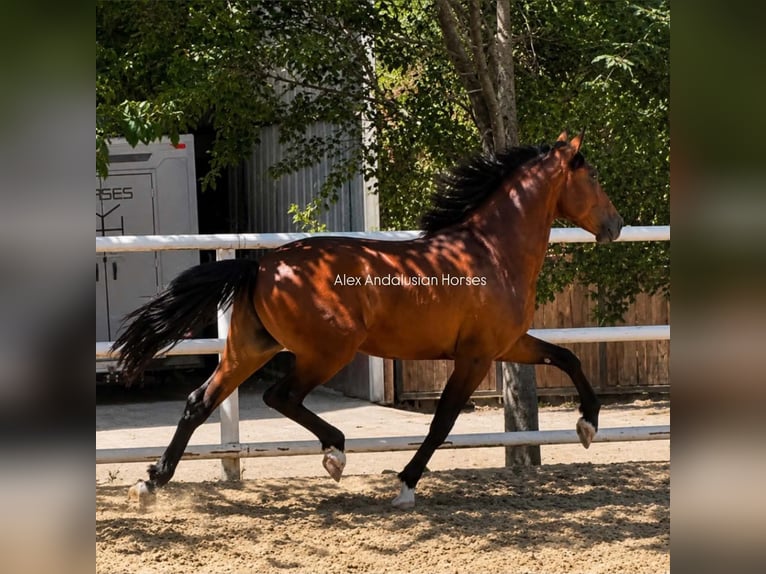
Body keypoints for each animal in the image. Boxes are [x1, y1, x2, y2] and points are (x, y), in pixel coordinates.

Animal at [116, 131, 623, 509]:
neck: (493, 252)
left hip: (250, 347)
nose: (616, 225)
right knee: (281, 396)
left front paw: (587, 427)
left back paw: (151, 482)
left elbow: (567, 357)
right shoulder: (476, 357)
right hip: (328, 351)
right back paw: (335, 454)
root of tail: (261, 266)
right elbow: (442, 422)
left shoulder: (508, 344)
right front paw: (405, 485)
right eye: (593, 175)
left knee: (199, 402)